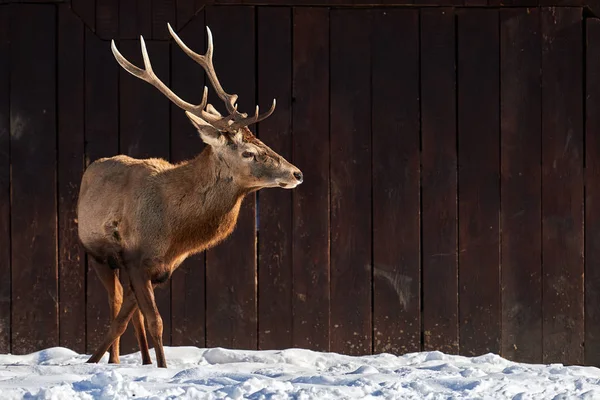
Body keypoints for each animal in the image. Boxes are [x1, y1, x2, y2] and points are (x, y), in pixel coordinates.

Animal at [78, 24, 304, 368]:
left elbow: (134, 318)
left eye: (262, 143)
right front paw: (145, 367)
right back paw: (114, 360)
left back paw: (134, 361)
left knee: (127, 314)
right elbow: (152, 320)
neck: (175, 231)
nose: (297, 173)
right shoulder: (134, 257)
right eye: (249, 152)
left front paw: (149, 366)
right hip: (97, 254)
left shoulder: (160, 268)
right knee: (115, 303)